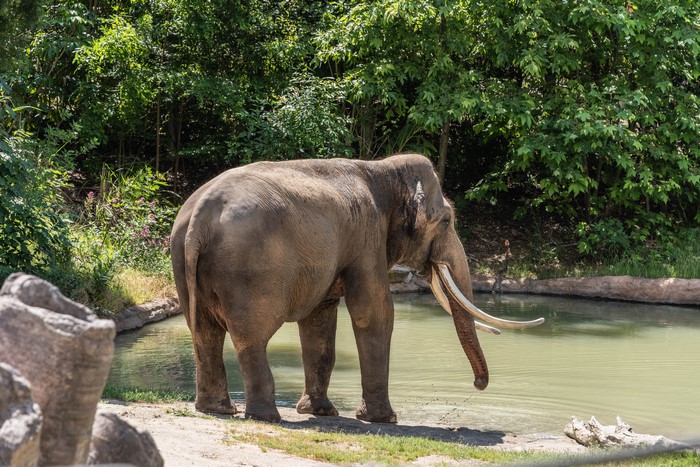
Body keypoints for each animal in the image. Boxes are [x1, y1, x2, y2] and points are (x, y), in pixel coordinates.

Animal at [170, 153, 543, 423]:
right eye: (447, 220)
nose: (478, 385)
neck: (381, 169)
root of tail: (200, 215)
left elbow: (320, 319)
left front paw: (321, 412)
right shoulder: (367, 238)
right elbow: (374, 312)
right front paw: (384, 419)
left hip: (183, 263)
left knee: (204, 333)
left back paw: (217, 410)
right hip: (250, 274)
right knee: (251, 338)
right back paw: (266, 417)